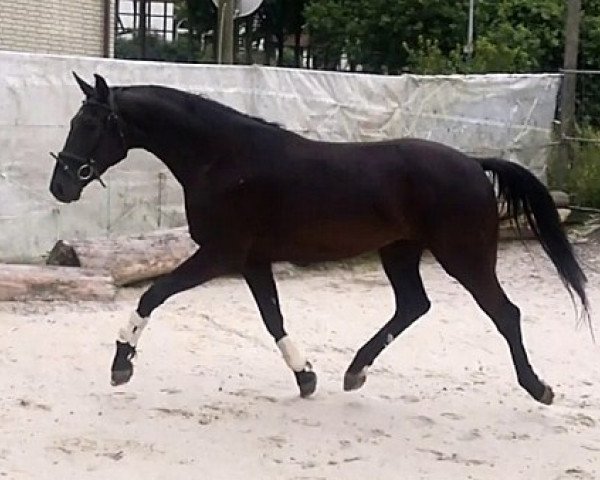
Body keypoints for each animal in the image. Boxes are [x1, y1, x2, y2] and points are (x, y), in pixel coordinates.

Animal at [49, 73, 588, 404]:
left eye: (91, 123)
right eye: (75, 121)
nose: (62, 184)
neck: (222, 158)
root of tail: (475, 165)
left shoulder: (219, 254)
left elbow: (153, 295)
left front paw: (121, 363)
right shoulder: (251, 260)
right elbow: (272, 318)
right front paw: (306, 376)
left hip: (465, 258)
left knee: (505, 313)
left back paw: (538, 388)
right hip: (400, 253)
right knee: (413, 305)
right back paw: (355, 372)